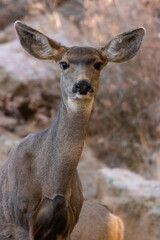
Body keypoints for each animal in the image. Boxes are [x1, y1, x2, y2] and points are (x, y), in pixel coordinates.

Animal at [0, 21, 145, 240]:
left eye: (98, 64)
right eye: (64, 63)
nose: (82, 85)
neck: (53, 185)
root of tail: (117, 220)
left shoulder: (67, 224)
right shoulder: (20, 218)